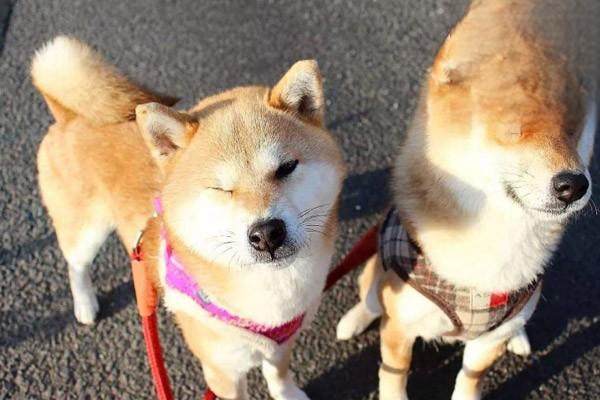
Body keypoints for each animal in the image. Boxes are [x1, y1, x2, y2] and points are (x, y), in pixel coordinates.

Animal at [35, 36, 344, 398]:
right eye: (220, 189)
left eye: (286, 168)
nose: (267, 233)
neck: (274, 296)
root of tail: (67, 114)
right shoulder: (223, 370)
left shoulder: (283, 340)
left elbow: (278, 373)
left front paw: (287, 393)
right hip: (86, 231)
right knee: (76, 265)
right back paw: (85, 303)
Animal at [338, 1, 596, 398]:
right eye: (512, 129)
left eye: (571, 131)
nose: (574, 185)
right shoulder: (399, 330)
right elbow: (394, 375)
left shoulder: (488, 342)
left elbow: (471, 376)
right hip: (377, 274)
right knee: (369, 295)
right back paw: (352, 319)